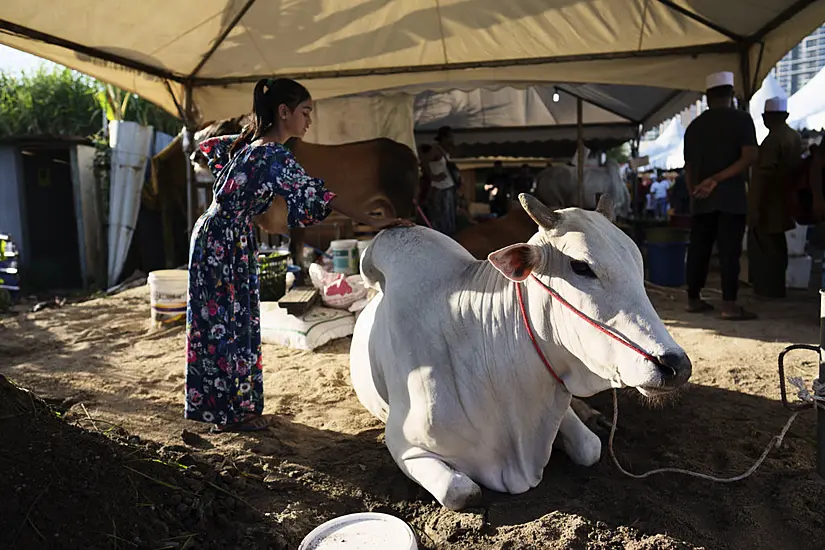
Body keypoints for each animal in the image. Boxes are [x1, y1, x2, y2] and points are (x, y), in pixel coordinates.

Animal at [350, 195, 692, 512]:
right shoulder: (404, 444)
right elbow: (461, 491)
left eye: (638, 262)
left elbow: (590, 447)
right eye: (581, 267)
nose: (676, 365)